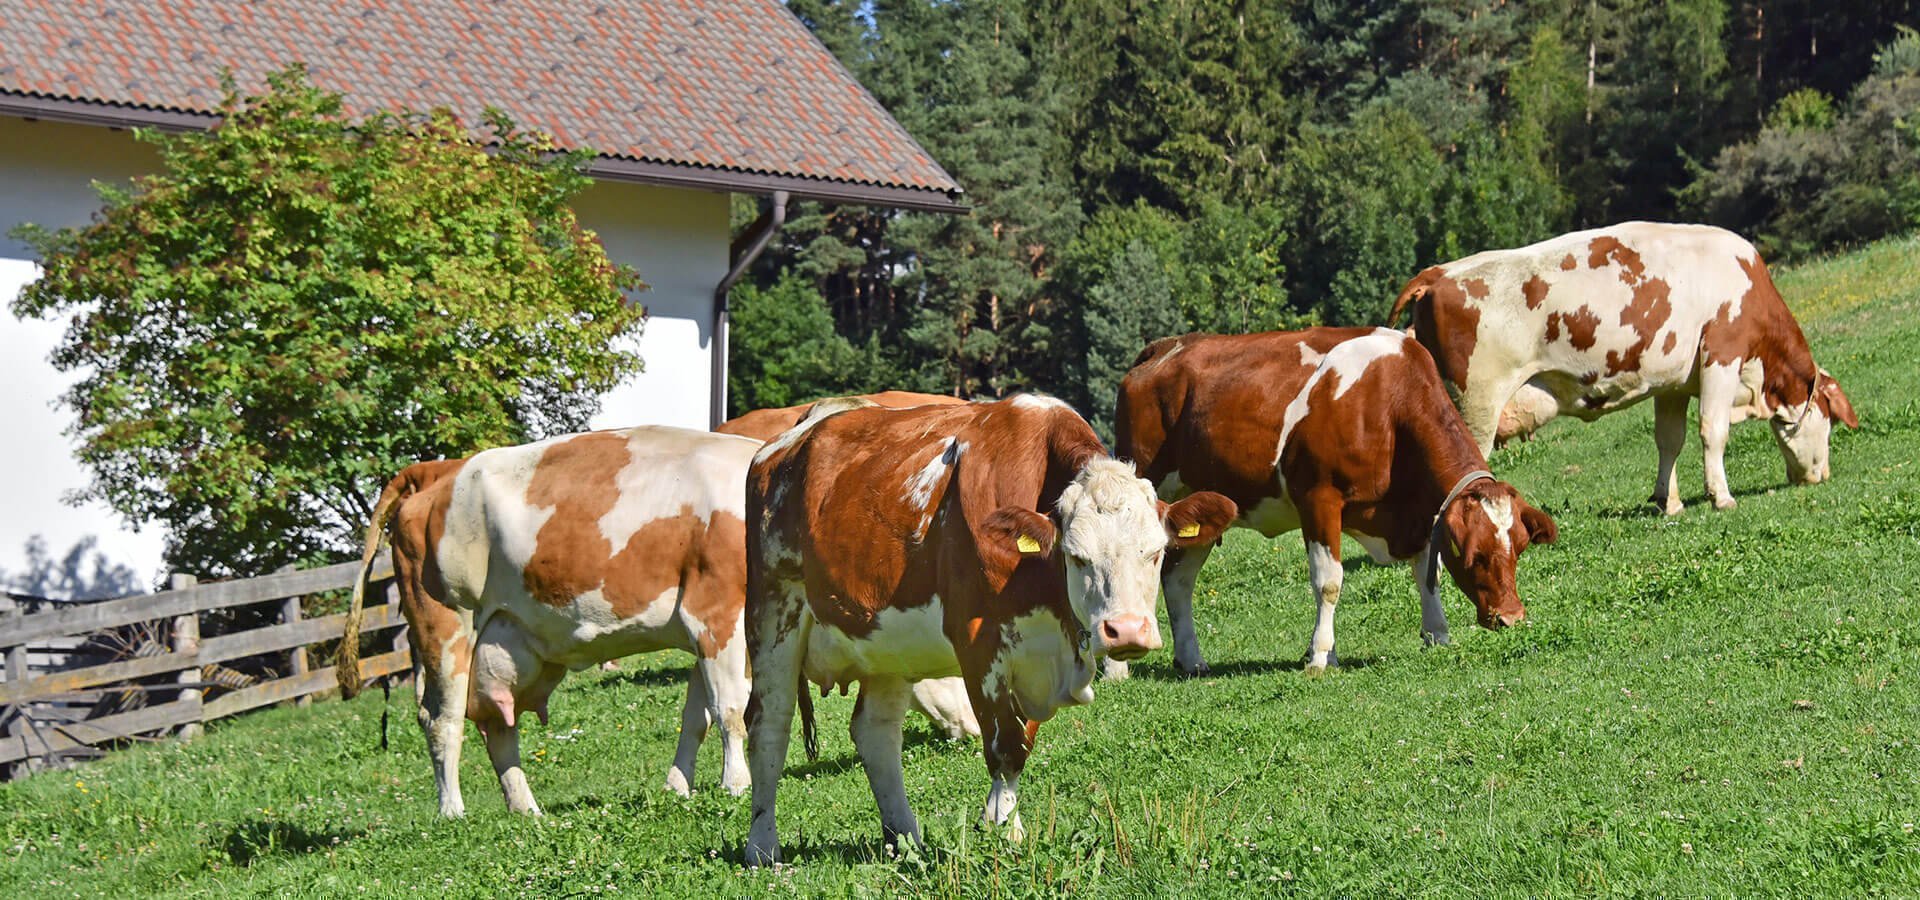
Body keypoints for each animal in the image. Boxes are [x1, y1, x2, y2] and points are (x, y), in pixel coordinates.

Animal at [341, 426, 760, 813]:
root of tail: (439, 470)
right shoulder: (715, 613)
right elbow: (730, 709)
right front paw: (737, 785)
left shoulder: (710, 633)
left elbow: (696, 716)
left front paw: (678, 787)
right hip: (445, 630)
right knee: (442, 721)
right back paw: (452, 812)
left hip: (502, 643)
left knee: (498, 726)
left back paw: (527, 811)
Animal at [741, 393, 1236, 863]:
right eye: (1077, 556)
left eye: (1155, 552)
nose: (1127, 631)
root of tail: (784, 444)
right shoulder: (979, 643)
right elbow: (1005, 744)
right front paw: (1003, 830)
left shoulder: (1036, 657)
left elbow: (1022, 740)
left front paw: (1002, 819)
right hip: (773, 612)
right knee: (769, 725)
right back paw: (763, 848)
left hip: (888, 644)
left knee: (876, 732)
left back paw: (905, 839)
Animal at [1121, 324, 1551, 675]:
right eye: (1475, 553)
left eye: (1519, 548)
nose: (1512, 617)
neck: (1388, 404)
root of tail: (1165, 347)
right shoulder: (1319, 499)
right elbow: (1329, 581)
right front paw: (1320, 656)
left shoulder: (1417, 513)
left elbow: (1427, 574)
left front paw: (1437, 635)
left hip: (1202, 503)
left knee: (1178, 578)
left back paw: (1191, 659)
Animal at [1390, 219, 1850, 510]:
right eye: (1830, 419)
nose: (1824, 475)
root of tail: (1438, 273)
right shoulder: (1722, 356)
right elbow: (1712, 431)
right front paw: (1721, 497)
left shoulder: (1673, 382)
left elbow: (1669, 440)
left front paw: (1669, 502)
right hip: (1475, 408)